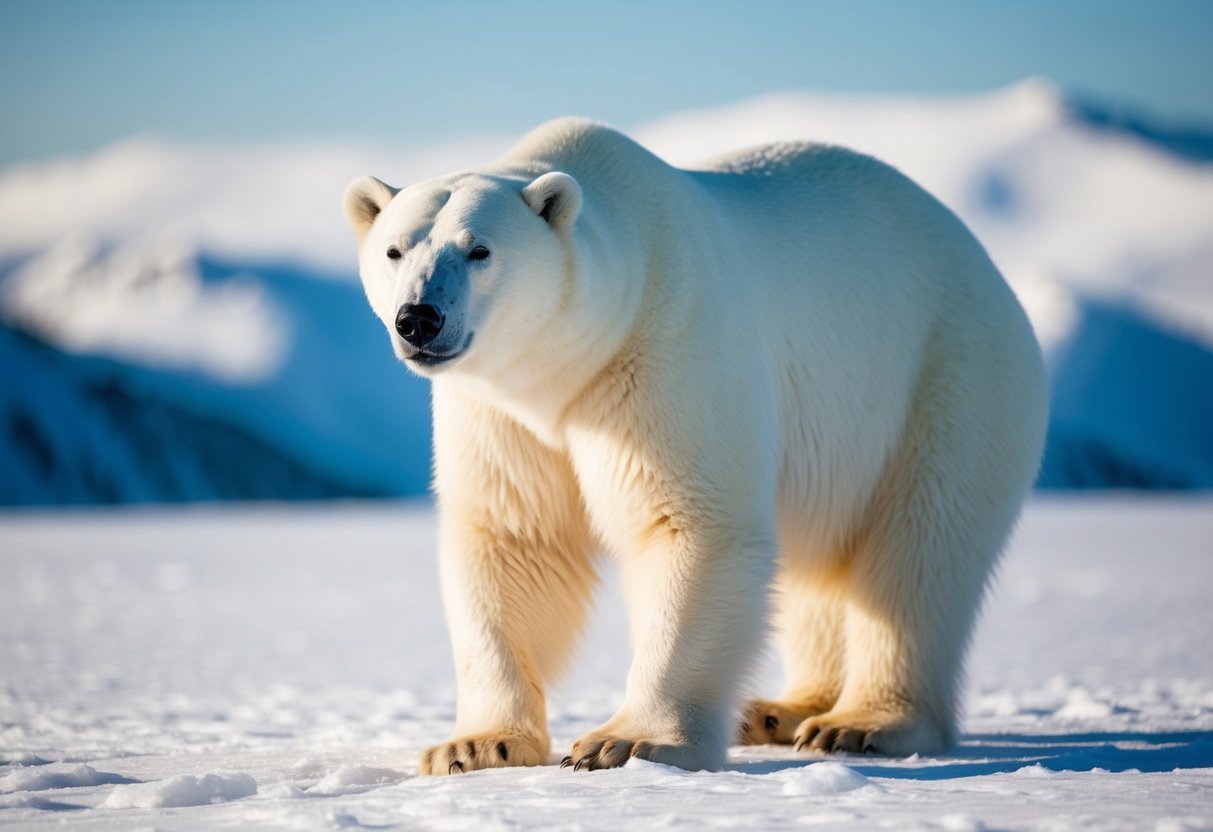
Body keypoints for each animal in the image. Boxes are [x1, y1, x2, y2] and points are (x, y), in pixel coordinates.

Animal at [342, 118, 1049, 775]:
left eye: (480, 249)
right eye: (395, 250)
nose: (419, 318)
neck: (570, 365)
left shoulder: (665, 352)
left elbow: (690, 523)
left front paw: (627, 742)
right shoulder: (500, 414)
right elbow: (512, 541)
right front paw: (474, 745)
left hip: (945, 379)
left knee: (918, 553)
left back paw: (860, 724)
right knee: (822, 561)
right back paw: (781, 710)